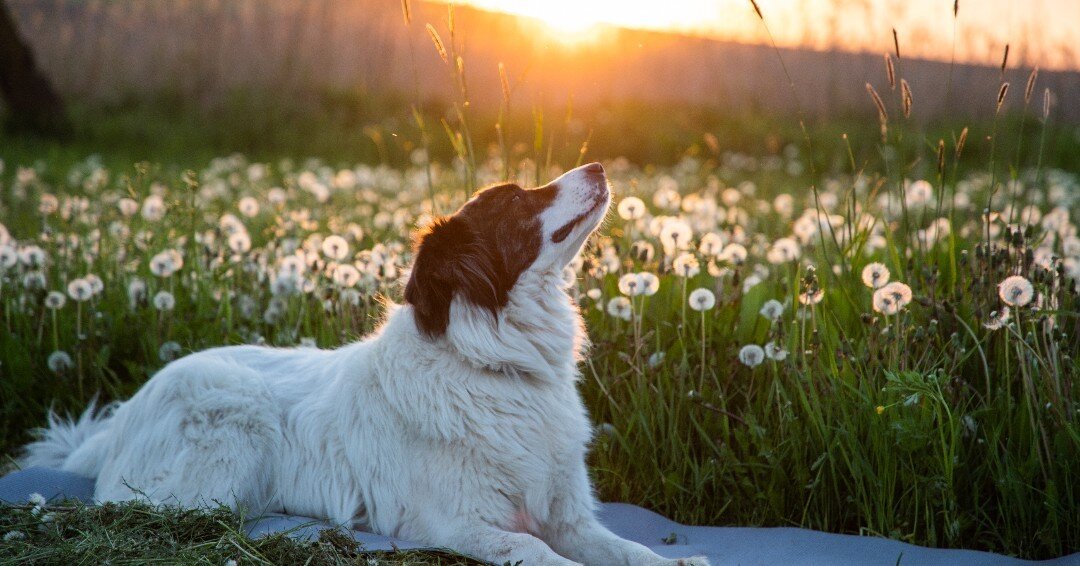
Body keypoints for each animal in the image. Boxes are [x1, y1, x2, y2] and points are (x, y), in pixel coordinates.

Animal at [23, 163, 708, 566]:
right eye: (517, 199)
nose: (598, 164)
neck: (495, 364)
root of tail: (120, 422)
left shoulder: (569, 514)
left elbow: (629, 548)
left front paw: (678, 560)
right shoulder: (460, 524)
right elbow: (536, 552)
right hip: (234, 418)